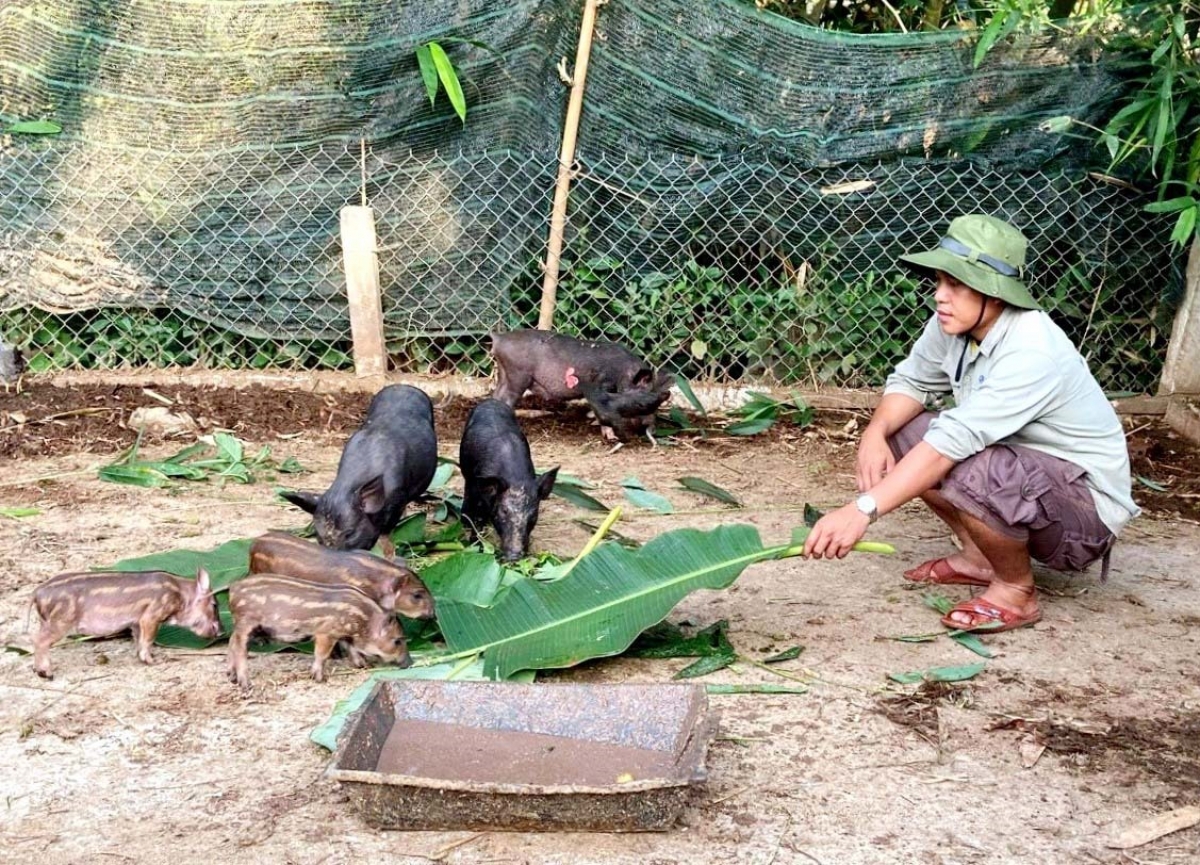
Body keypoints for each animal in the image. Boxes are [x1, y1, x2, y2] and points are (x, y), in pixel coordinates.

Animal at [460, 398, 559, 559]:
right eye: (504, 511)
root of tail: (491, 400)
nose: (514, 555)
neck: (516, 480)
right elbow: (479, 518)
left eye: (533, 515)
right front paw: (475, 547)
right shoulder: (478, 488)